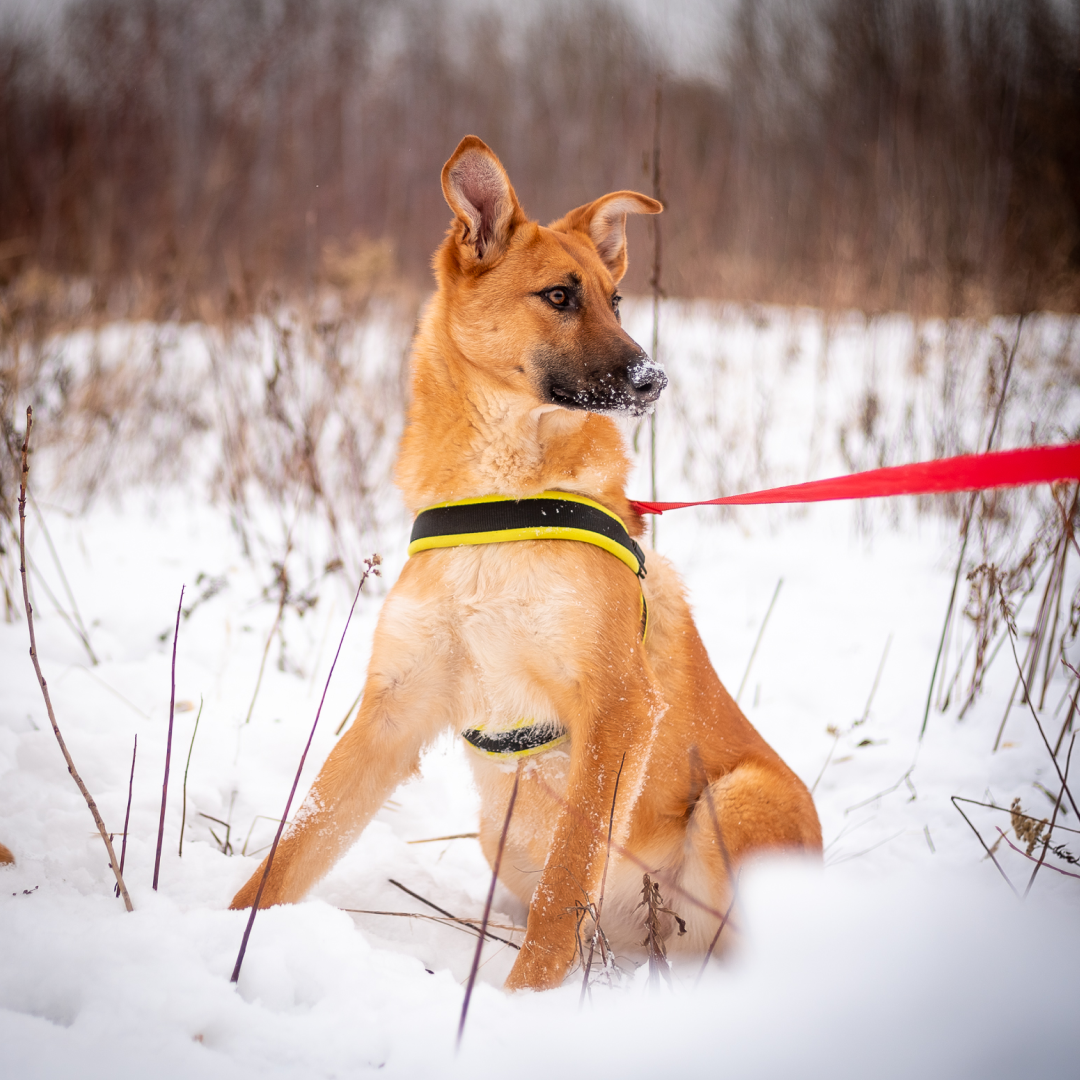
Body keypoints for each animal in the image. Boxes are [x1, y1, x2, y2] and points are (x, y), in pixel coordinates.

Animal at [232, 137, 820, 993]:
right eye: (560, 296)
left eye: (615, 299)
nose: (653, 381)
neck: (504, 500)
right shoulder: (392, 711)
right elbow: (296, 846)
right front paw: (223, 934)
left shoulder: (618, 706)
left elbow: (567, 875)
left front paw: (522, 999)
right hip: (496, 831)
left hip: (741, 799)